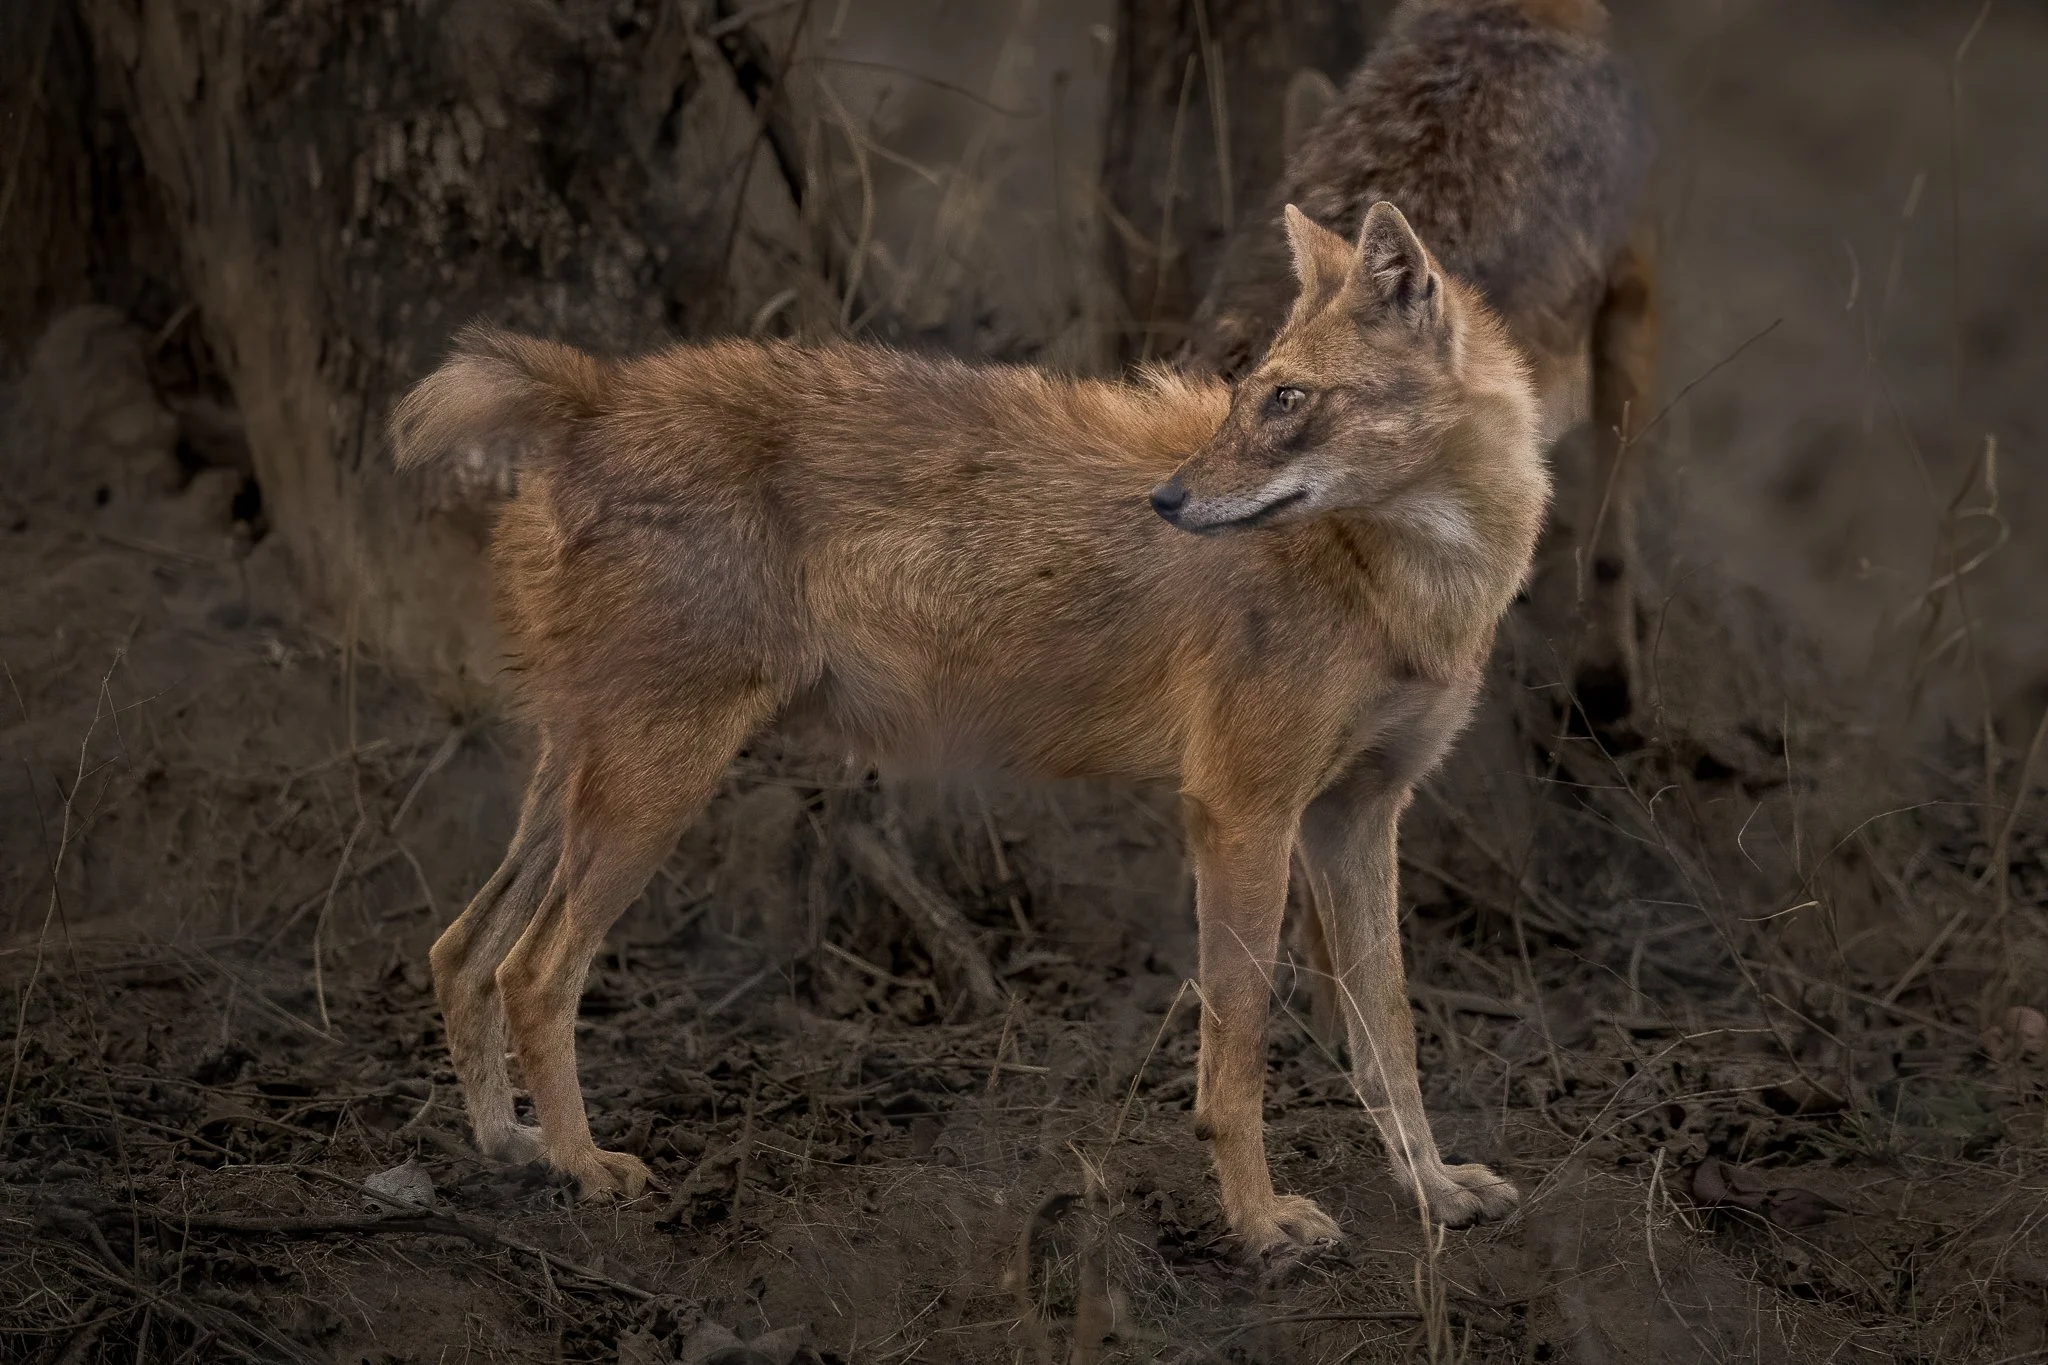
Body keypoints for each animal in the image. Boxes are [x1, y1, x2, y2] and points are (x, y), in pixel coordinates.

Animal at [390, 201, 1548, 1254]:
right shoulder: (1240, 812)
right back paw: (584, 1168)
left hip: (585, 788)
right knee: (532, 972)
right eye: (1246, 397)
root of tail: (598, 395)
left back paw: (513, 1147)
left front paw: (1435, 1191)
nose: (1166, 500)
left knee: (459, 950)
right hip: (652, 793)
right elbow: (1241, 1050)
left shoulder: (1357, 817)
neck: (1414, 584)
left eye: (1289, 398)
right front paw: (1260, 1225)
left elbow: (1389, 1032)